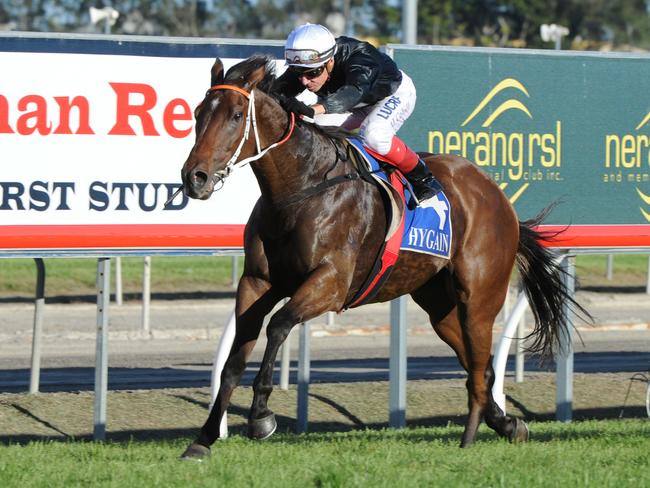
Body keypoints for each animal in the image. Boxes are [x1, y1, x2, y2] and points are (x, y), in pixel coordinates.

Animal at [177, 55, 584, 460]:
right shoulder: (257, 282)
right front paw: (203, 439)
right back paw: (509, 425)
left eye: (235, 115)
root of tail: (498, 196)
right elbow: (232, 361)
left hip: (480, 298)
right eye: (198, 113)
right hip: (438, 304)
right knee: (479, 368)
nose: (194, 177)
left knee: (480, 364)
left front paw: (261, 415)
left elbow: (278, 325)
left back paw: (468, 439)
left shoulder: (331, 283)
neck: (301, 189)